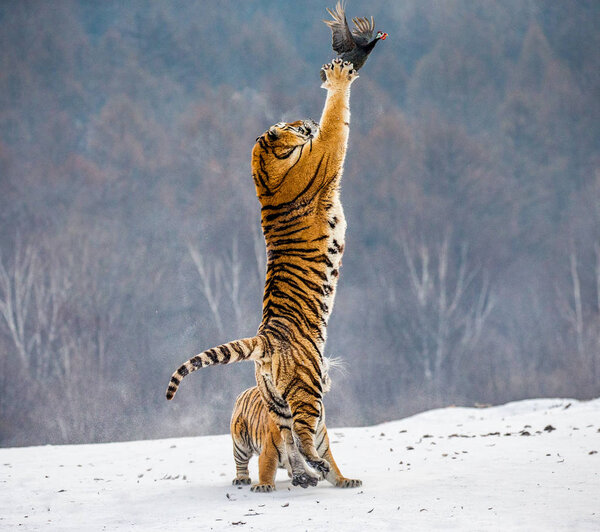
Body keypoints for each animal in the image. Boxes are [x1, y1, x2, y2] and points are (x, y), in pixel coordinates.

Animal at [230, 356, 360, 492]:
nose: (322, 358)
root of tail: (243, 393)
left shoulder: (321, 450)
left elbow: (334, 469)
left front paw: (346, 481)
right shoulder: (270, 451)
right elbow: (266, 469)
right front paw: (264, 485)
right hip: (240, 445)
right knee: (241, 464)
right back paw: (241, 479)